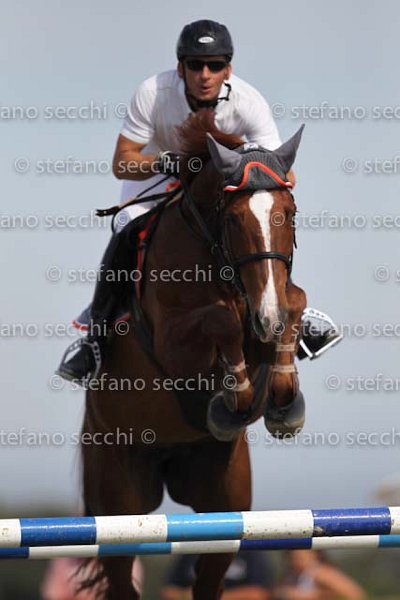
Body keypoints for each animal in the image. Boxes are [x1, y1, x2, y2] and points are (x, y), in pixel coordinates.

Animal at [80, 109, 307, 599]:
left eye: (290, 213)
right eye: (234, 219)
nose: (268, 318)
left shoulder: (268, 304)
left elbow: (294, 301)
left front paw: (284, 398)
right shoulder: (172, 343)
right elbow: (221, 322)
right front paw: (234, 397)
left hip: (225, 502)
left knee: (210, 577)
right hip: (118, 499)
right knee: (121, 576)